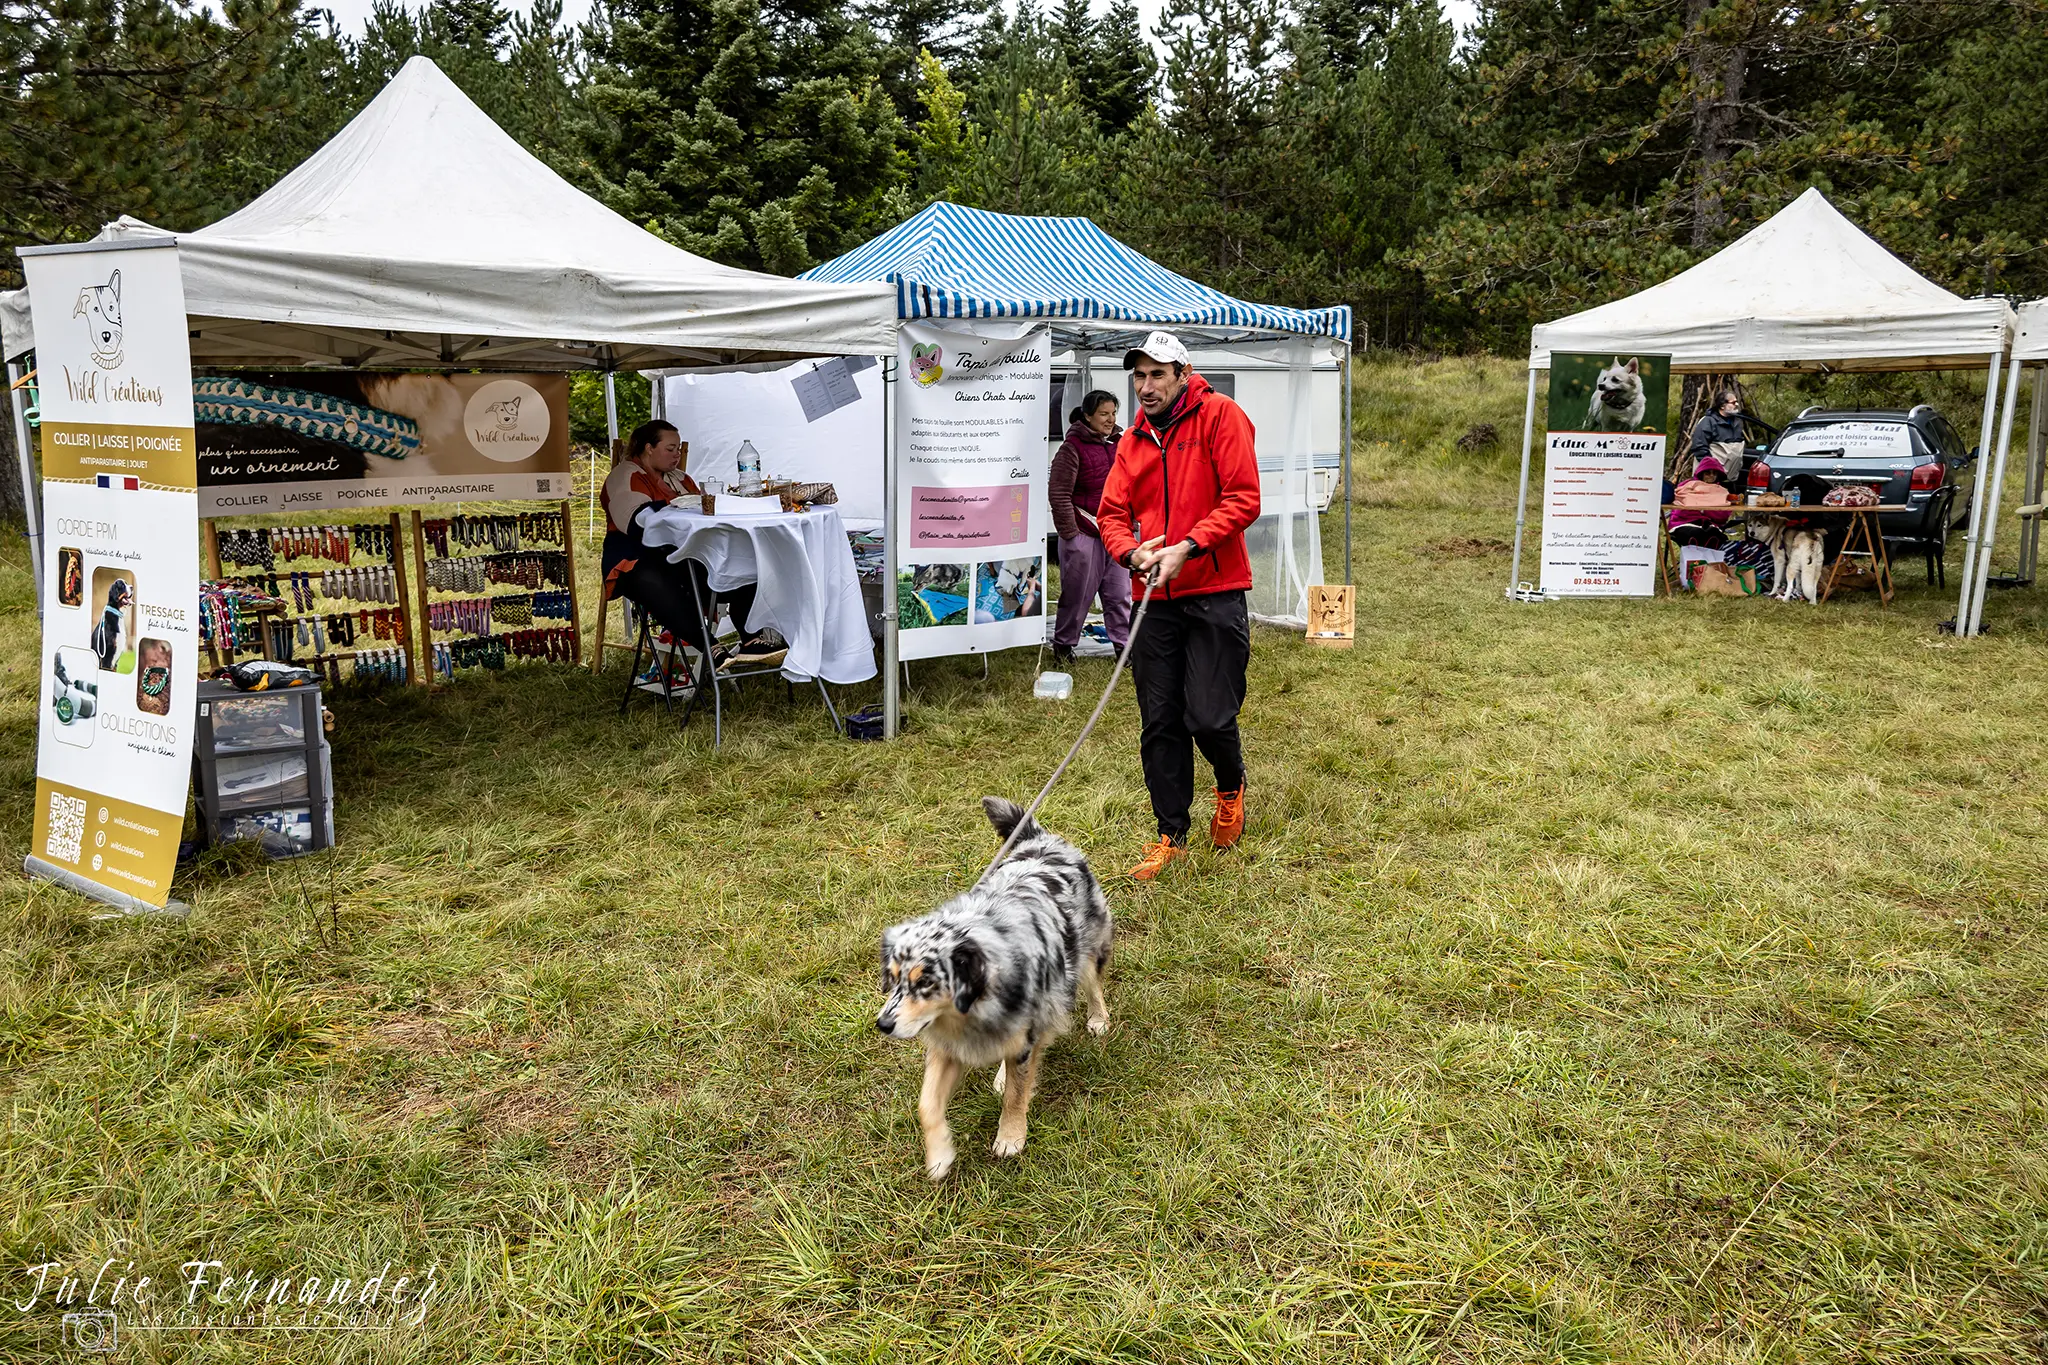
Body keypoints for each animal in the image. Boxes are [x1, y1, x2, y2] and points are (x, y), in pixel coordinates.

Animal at [872, 794, 1114, 1178]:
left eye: (925, 981)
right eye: (893, 978)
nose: (883, 1024)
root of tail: (1040, 838)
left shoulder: (1026, 1033)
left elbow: (1016, 1094)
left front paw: (1011, 1137)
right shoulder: (947, 1045)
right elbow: (926, 1104)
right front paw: (939, 1154)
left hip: (1086, 952)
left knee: (1093, 985)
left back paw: (1098, 1019)